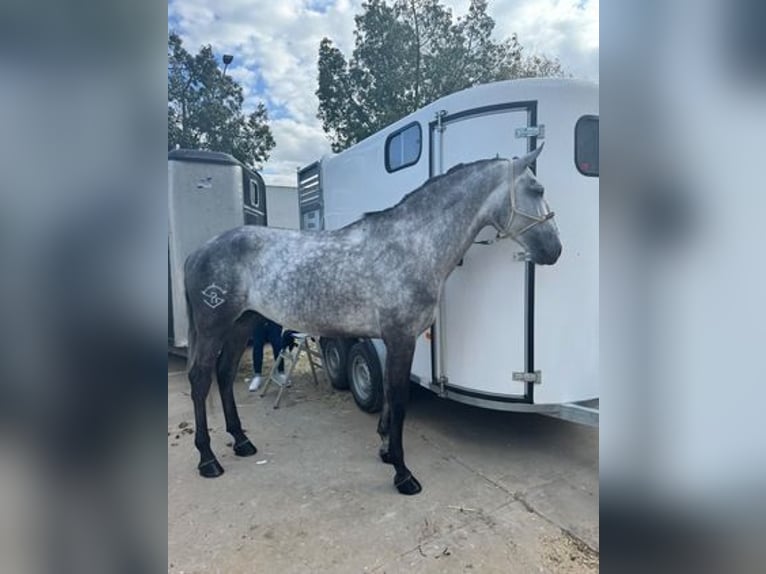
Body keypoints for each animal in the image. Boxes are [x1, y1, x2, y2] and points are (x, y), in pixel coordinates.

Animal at [183, 146, 560, 498]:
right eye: (537, 189)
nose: (555, 250)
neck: (412, 246)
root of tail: (200, 250)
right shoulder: (401, 337)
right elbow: (400, 398)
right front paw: (403, 473)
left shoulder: (393, 340)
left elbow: (392, 396)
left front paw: (385, 451)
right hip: (214, 326)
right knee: (201, 379)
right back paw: (208, 460)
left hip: (241, 324)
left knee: (224, 375)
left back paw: (242, 442)